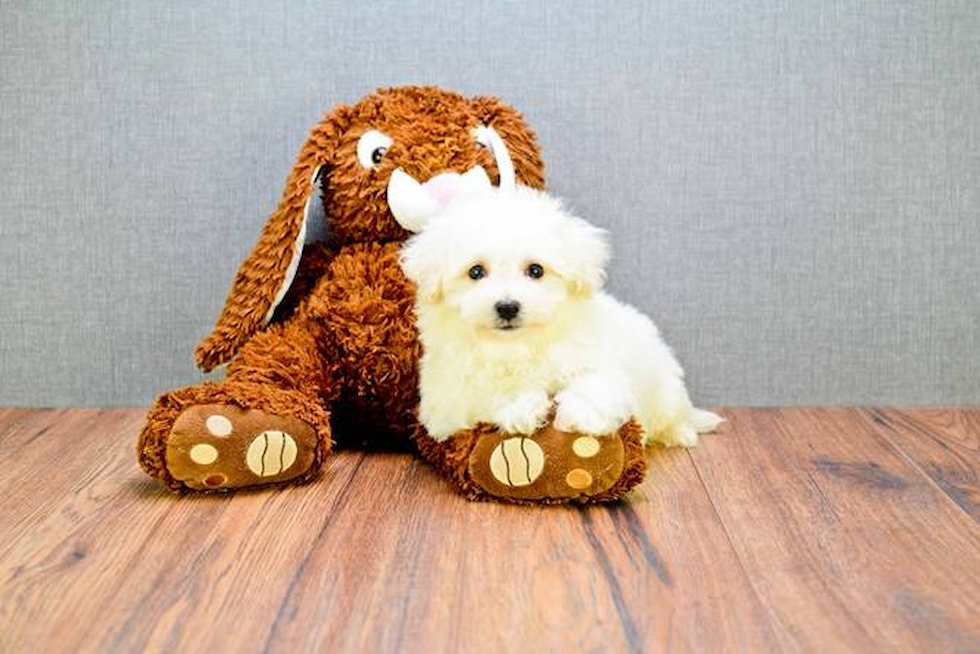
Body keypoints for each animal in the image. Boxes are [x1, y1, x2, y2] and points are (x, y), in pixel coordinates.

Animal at [402, 187, 724, 448]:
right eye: (476, 272)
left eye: (535, 270)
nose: (507, 307)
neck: (518, 348)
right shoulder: (445, 401)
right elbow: (485, 394)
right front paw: (520, 406)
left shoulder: (597, 357)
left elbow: (596, 380)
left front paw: (583, 413)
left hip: (665, 388)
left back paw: (681, 432)